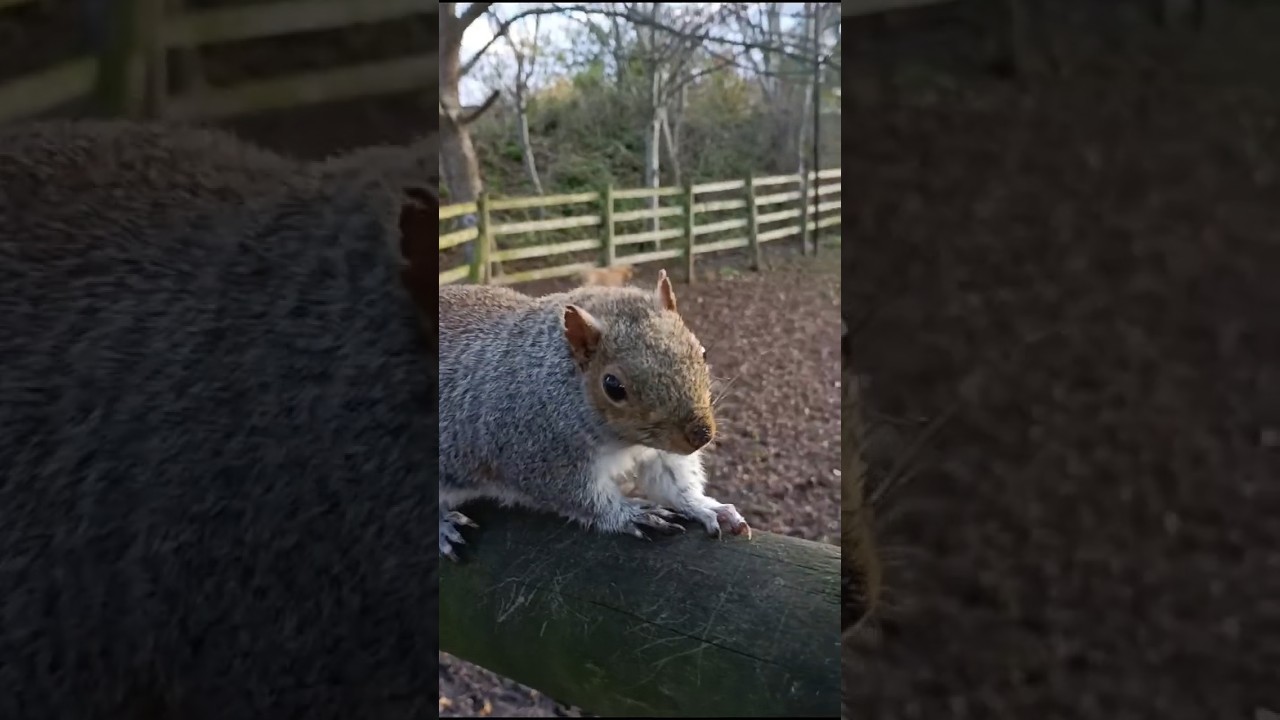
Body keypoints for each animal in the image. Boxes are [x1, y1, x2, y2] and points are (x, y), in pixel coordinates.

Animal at [437, 269, 751, 559]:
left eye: (703, 352)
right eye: (613, 386)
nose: (701, 435)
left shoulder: (657, 451)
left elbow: (673, 481)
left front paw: (705, 506)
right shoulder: (535, 452)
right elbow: (578, 497)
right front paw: (629, 513)